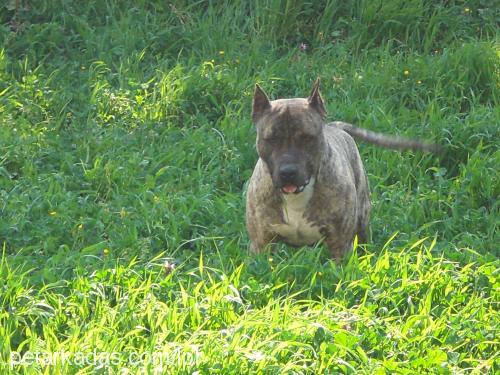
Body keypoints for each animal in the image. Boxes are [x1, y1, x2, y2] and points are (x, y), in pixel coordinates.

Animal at [245, 79, 438, 262]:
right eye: (271, 139)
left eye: (307, 138)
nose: (288, 172)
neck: (296, 198)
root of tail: (334, 126)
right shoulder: (261, 245)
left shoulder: (340, 245)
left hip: (362, 220)